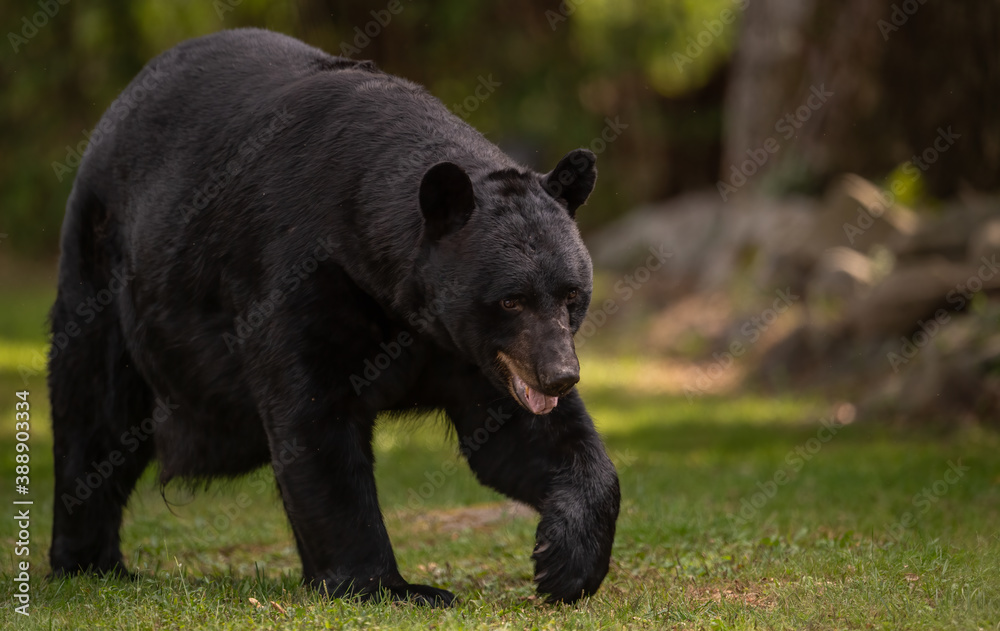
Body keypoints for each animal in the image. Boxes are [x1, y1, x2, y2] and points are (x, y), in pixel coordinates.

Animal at [48, 28, 620, 606]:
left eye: (572, 295)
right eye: (510, 299)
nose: (560, 375)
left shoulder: (466, 348)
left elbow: (522, 437)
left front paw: (564, 563)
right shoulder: (303, 276)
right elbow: (316, 422)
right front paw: (392, 585)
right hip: (108, 271)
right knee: (94, 410)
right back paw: (90, 561)